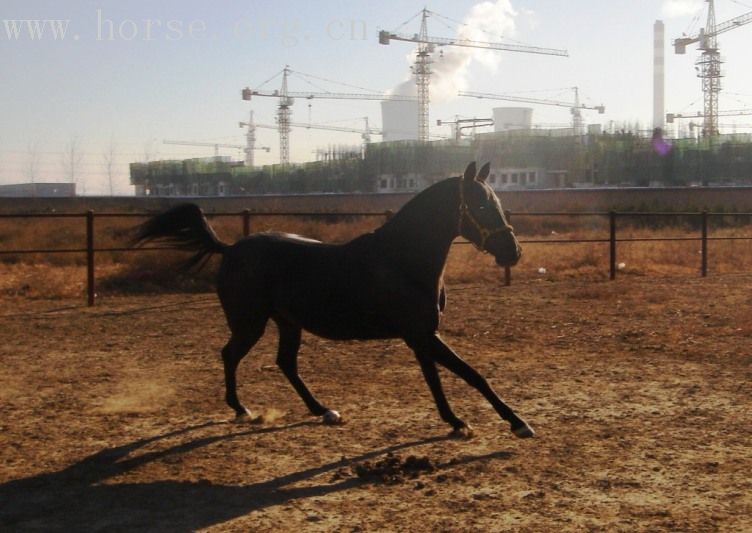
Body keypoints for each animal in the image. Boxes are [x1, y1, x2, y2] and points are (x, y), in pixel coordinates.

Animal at [135, 161, 536, 436]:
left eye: (497, 201)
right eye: (481, 206)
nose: (513, 252)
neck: (402, 259)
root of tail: (231, 248)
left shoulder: (422, 336)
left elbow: (441, 379)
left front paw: (457, 422)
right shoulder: (421, 335)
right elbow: (472, 375)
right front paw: (515, 424)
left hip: (287, 323)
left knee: (285, 363)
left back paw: (324, 411)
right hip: (251, 323)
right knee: (230, 355)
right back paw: (242, 409)